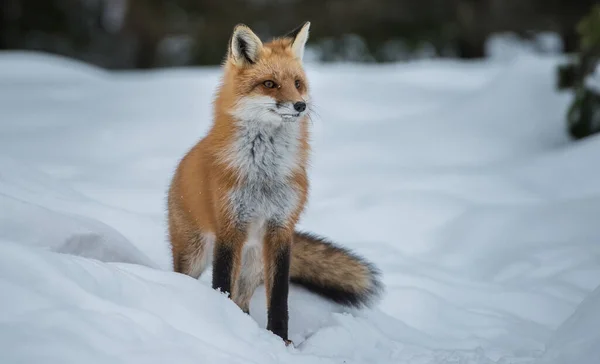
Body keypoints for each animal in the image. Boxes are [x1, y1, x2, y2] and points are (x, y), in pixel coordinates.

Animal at [168, 21, 384, 346]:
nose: (300, 105)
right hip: (195, 253)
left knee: (242, 301)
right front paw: (222, 327)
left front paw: (280, 340)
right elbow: (220, 283)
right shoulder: (230, 228)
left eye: (297, 83)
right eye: (269, 84)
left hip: (254, 262)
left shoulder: (281, 230)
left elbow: (279, 296)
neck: (264, 174)